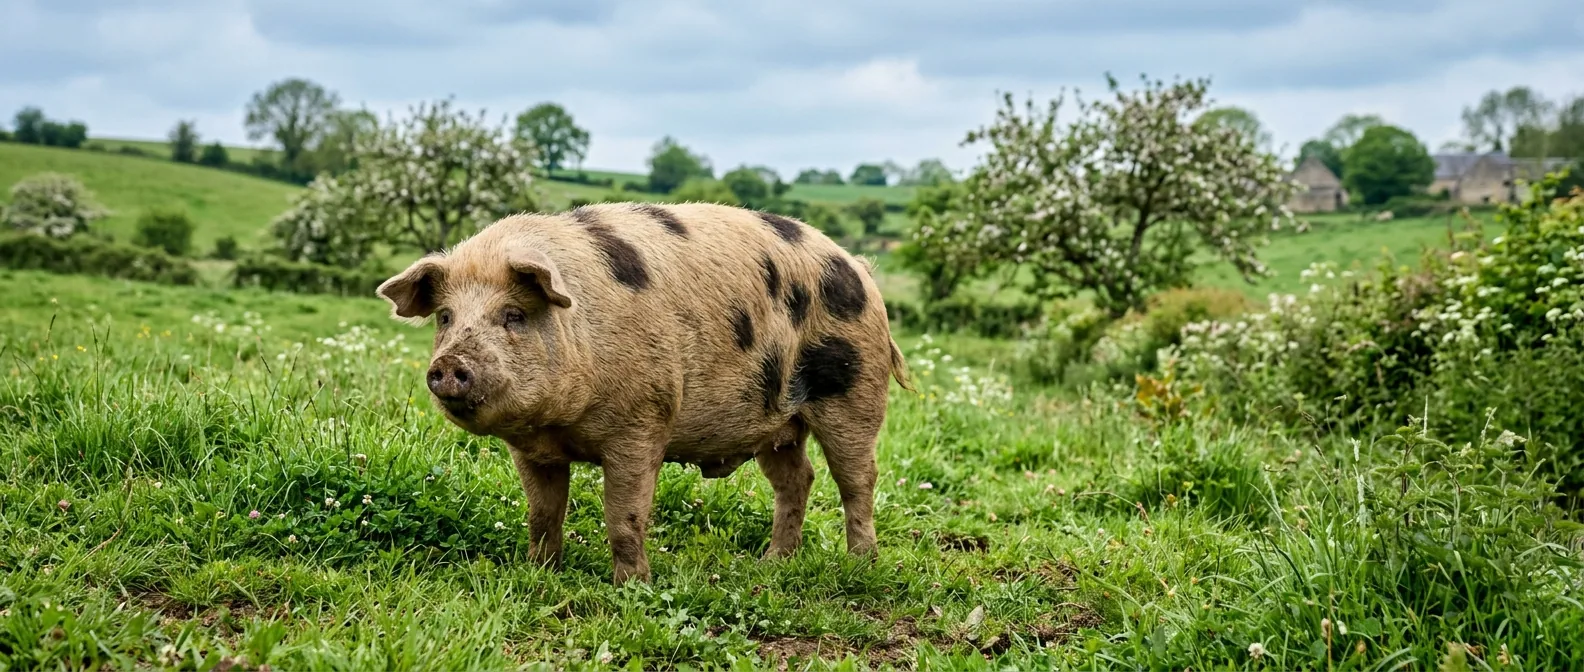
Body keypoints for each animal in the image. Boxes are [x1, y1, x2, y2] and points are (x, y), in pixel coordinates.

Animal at [376, 201, 913, 584]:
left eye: (514, 315)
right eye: (446, 317)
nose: (449, 365)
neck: (558, 424)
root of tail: (859, 267)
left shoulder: (642, 421)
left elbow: (624, 514)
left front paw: (631, 587)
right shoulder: (533, 451)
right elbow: (542, 513)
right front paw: (539, 574)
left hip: (854, 392)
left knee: (857, 479)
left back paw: (861, 565)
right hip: (777, 422)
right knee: (798, 478)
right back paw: (771, 563)